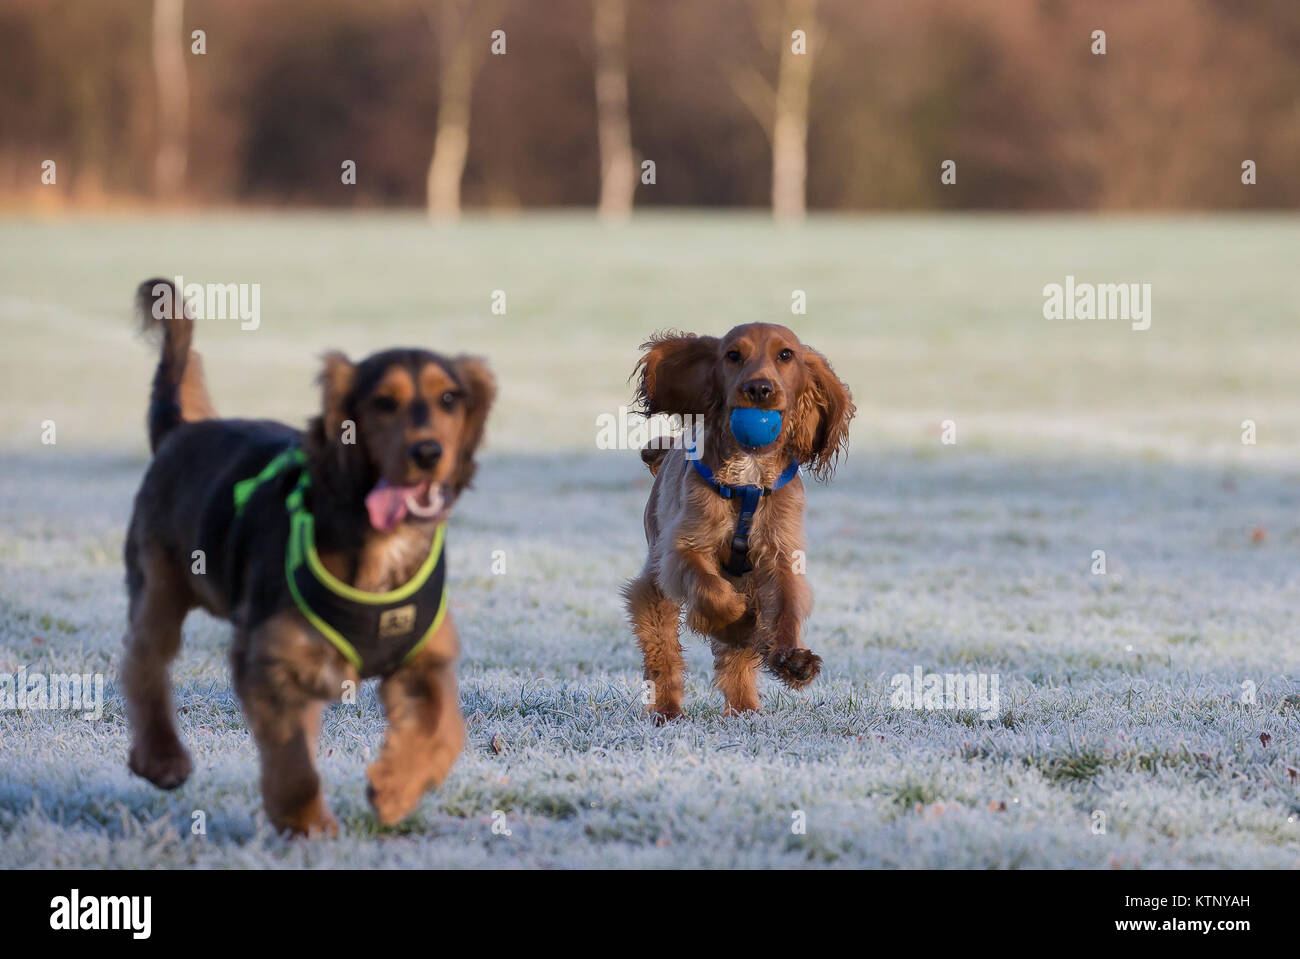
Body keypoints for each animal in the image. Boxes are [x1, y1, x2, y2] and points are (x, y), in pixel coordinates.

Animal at [119, 276, 493, 831]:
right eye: (383, 403)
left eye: (449, 398)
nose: (429, 453)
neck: (378, 542)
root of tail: (180, 429)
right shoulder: (270, 661)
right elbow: (292, 761)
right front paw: (309, 827)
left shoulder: (426, 660)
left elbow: (446, 730)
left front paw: (395, 790)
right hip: (159, 585)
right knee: (143, 660)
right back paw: (161, 759)